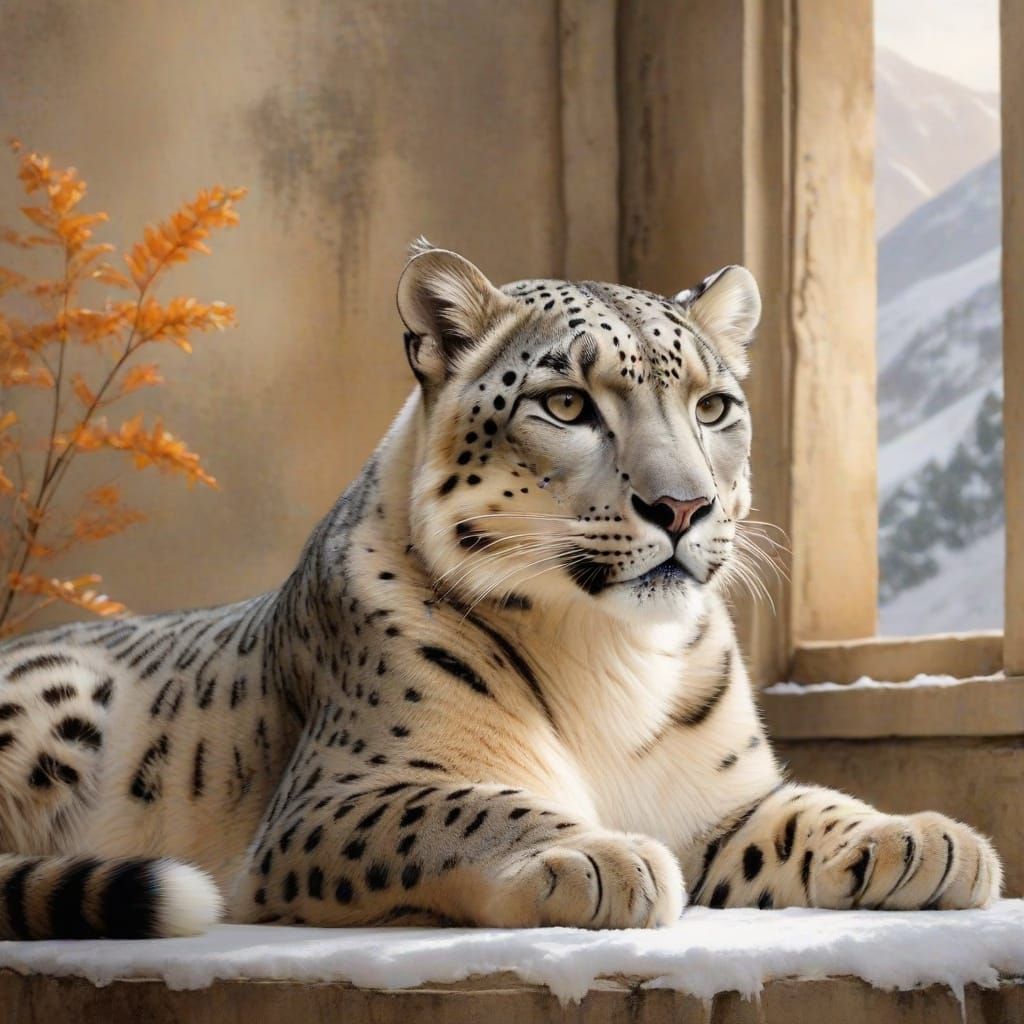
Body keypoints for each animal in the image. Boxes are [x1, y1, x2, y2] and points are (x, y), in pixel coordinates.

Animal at [0, 240, 1002, 938]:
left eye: (714, 406)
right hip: (58, 694)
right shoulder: (339, 797)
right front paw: (597, 855)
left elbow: (804, 811)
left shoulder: (720, 804)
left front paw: (921, 838)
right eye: (566, 404)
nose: (683, 505)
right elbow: (463, 806)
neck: (612, 651)